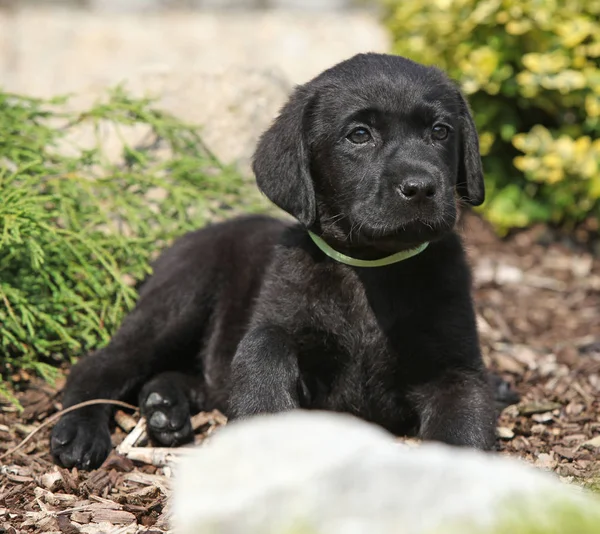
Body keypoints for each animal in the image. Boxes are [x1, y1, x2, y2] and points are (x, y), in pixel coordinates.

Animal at [51, 51, 500, 468]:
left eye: (440, 131)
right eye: (359, 135)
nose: (421, 187)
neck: (370, 269)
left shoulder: (456, 368)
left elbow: (464, 425)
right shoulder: (279, 317)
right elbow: (264, 347)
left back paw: (164, 406)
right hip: (179, 300)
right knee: (100, 364)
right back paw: (80, 429)